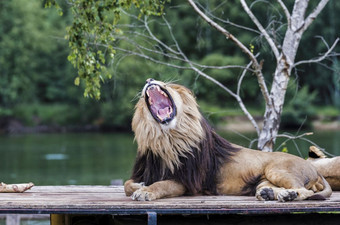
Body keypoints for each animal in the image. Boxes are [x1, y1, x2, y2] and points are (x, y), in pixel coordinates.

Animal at [123, 79, 330, 202]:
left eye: (167, 84)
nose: (149, 80)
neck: (165, 139)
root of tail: (314, 169)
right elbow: (126, 184)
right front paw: (139, 186)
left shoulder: (188, 182)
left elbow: (162, 184)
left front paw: (145, 191)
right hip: (263, 180)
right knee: (272, 189)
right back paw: (271, 194)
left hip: (277, 169)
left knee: (307, 192)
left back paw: (289, 195)